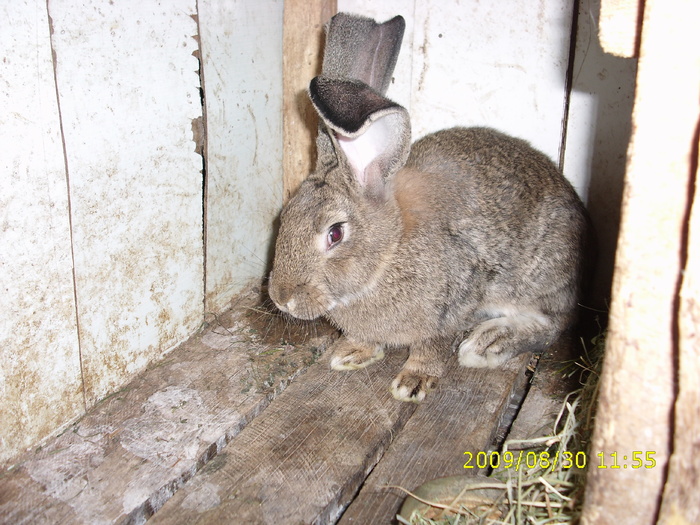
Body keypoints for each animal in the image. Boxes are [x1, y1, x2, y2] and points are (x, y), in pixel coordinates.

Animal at [266, 16, 584, 404]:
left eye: (335, 234)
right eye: (284, 218)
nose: (281, 299)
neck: (388, 253)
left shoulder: (455, 302)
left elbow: (432, 344)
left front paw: (413, 381)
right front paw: (351, 352)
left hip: (540, 276)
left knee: (552, 323)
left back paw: (487, 343)